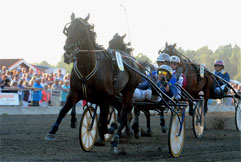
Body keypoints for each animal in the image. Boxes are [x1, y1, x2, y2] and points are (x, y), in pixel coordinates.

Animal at [45, 13, 141, 151]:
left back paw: (117, 137)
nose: (68, 49)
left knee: (124, 111)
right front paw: (52, 131)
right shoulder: (74, 93)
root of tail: (134, 62)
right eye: (68, 30)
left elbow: (103, 120)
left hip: (128, 90)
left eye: (82, 31)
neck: (87, 68)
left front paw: (103, 134)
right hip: (115, 95)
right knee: (122, 110)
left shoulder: (104, 98)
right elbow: (63, 110)